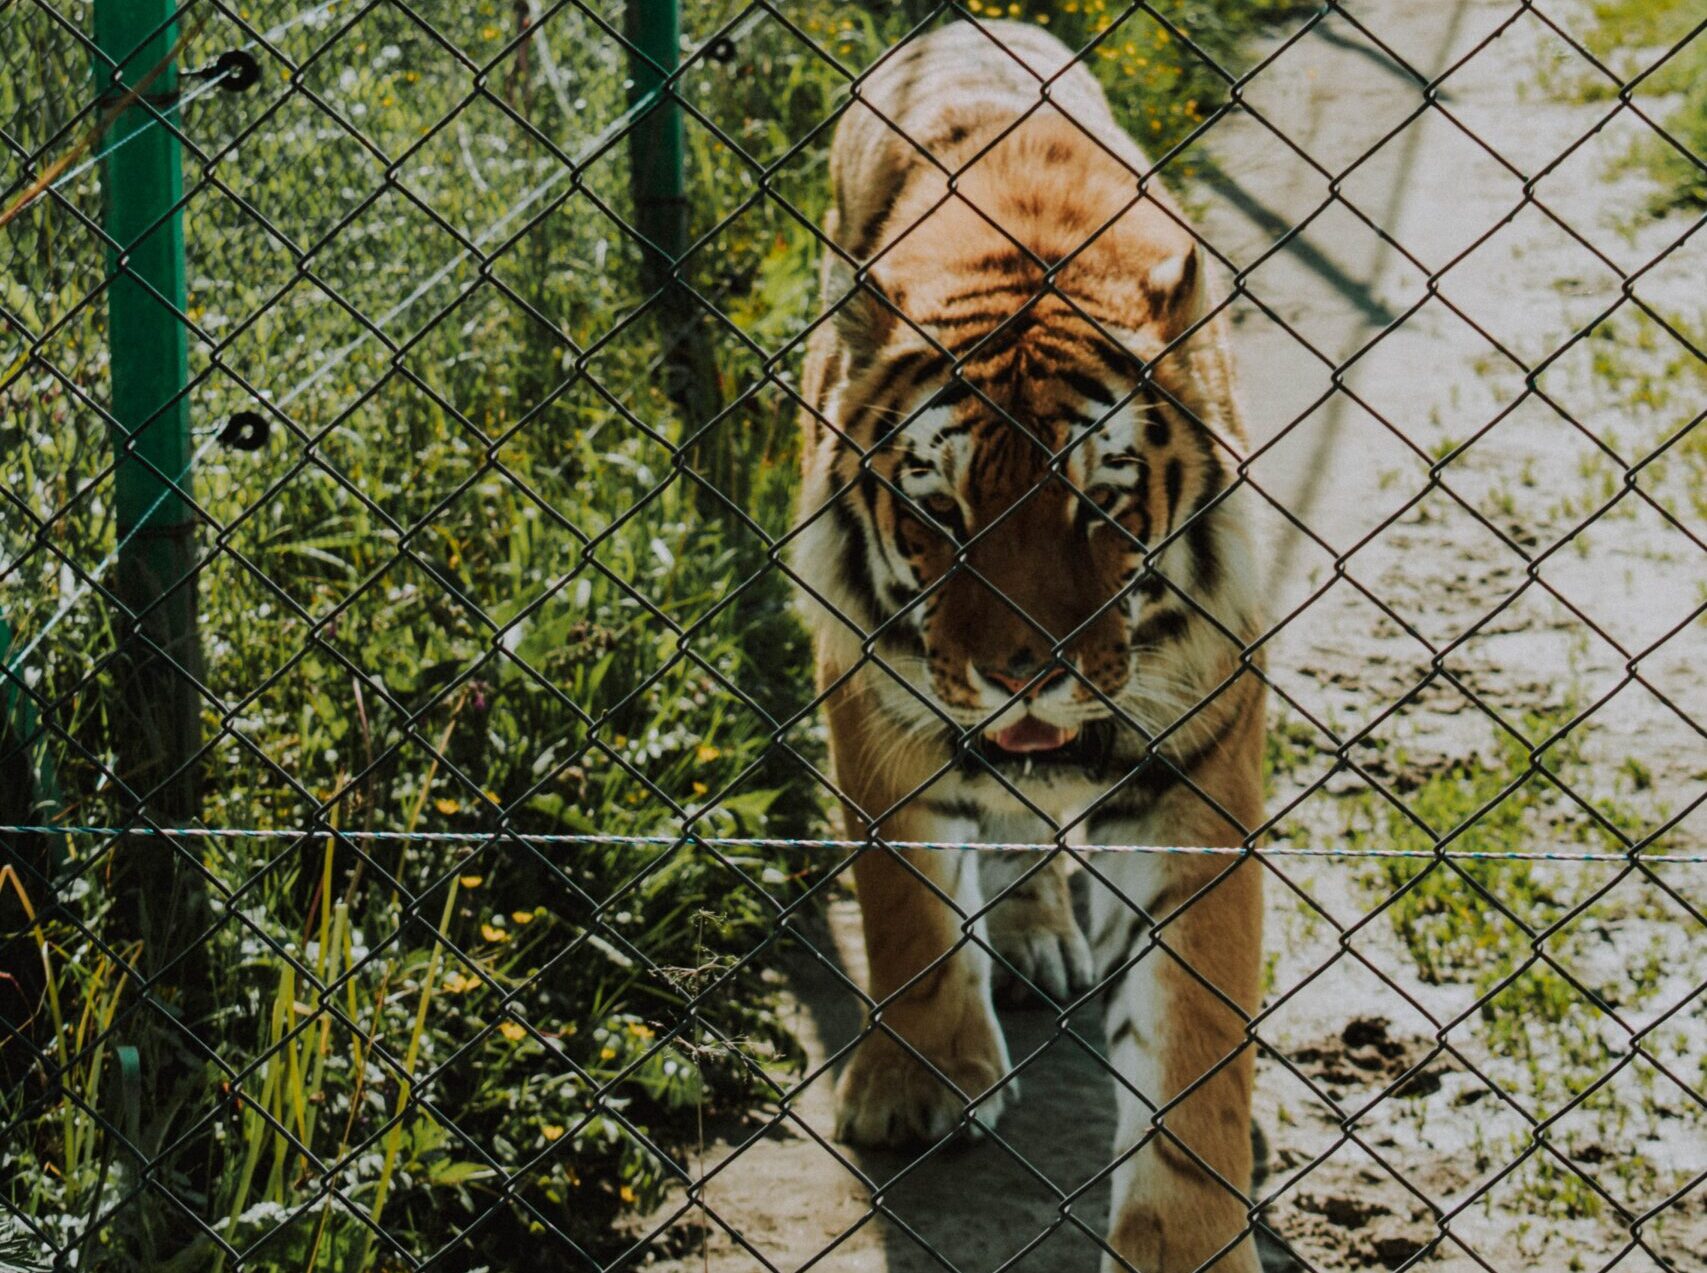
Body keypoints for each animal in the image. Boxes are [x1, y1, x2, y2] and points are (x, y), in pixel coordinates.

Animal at [789, 19, 1268, 1273]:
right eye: (941, 512)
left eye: (1098, 509)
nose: (1027, 673)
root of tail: (964, 22)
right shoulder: (872, 690)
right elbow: (906, 899)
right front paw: (919, 1085)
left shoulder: (1200, 763)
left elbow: (1196, 1032)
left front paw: (1187, 1242)